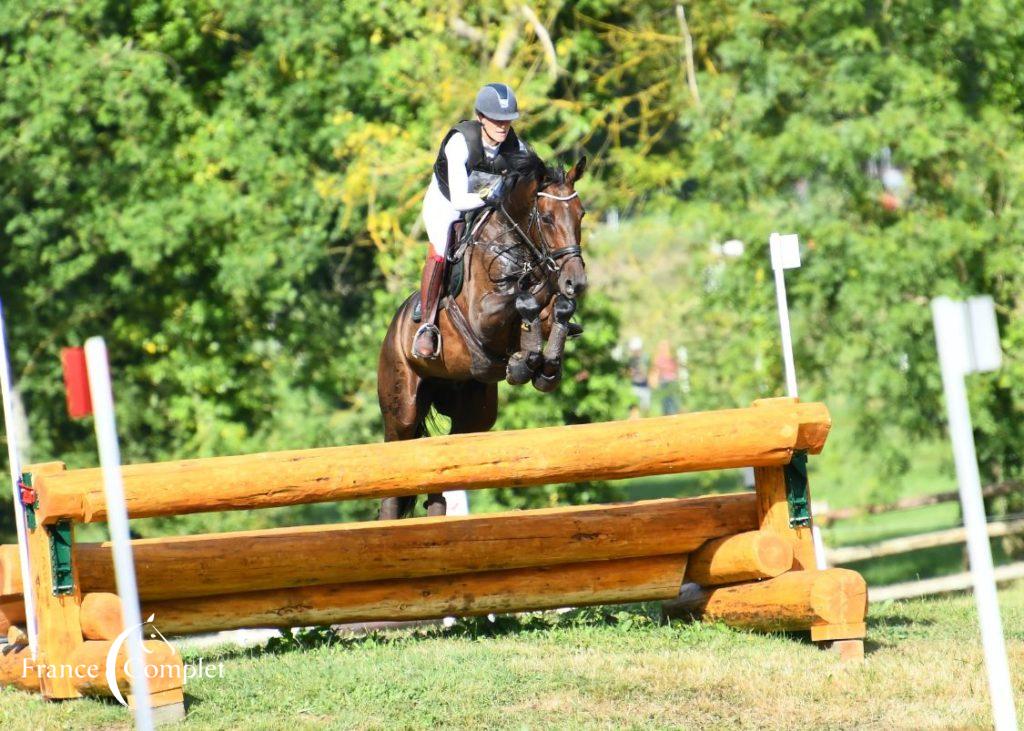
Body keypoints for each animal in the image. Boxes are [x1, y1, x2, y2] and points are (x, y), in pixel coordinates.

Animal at [376, 150, 589, 518]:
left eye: (581, 214)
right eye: (547, 218)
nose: (575, 281)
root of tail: (392, 333)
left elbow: (554, 308)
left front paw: (542, 366)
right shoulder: (483, 316)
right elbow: (523, 300)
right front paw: (526, 361)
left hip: (474, 413)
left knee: (441, 478)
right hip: (401, 409)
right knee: (394, 480)